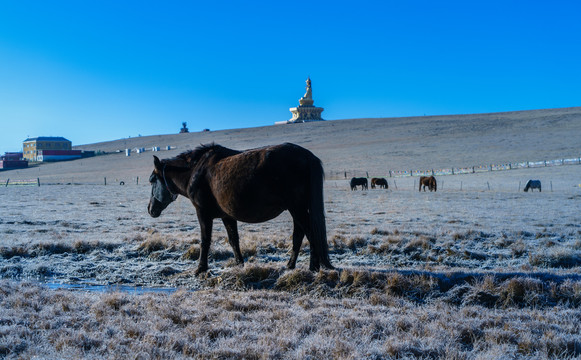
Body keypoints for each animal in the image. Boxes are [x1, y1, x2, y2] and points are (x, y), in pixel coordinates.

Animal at [147, 142, 334, 274]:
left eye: (152, 180)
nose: (150, 209)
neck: (195, 171)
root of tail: (307, 156)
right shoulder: (227, 216)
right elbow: (233, 240)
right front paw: (239, 264)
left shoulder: (203, 213)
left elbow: (205, 240)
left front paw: (200, 269)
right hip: (296, 209)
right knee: (299, 235)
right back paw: (290, 265)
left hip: (297, 208)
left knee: (310, 233)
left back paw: (314, 267)